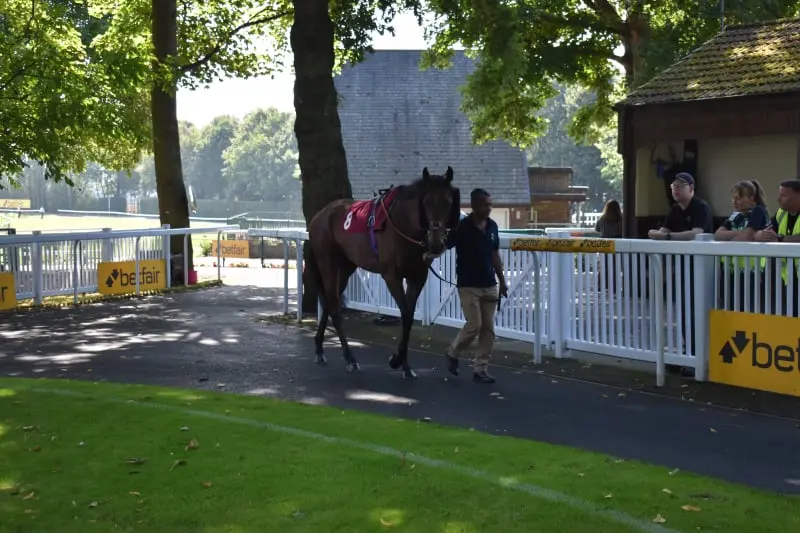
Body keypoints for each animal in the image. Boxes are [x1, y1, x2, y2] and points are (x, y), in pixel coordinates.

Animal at [304, 166, 460, 378]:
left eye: (449, 202)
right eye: (426, 202)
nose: (436, 243)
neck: (404, 225)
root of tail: (318, 217)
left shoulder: (418, 277)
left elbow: (409, 316)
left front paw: (405, 365)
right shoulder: (391, 276)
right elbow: (406, 314)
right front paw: (396, 360)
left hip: (346, 267)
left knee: (329, 301)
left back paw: (320, 349)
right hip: (328, 265)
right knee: (334, 307)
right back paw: (350, 358)